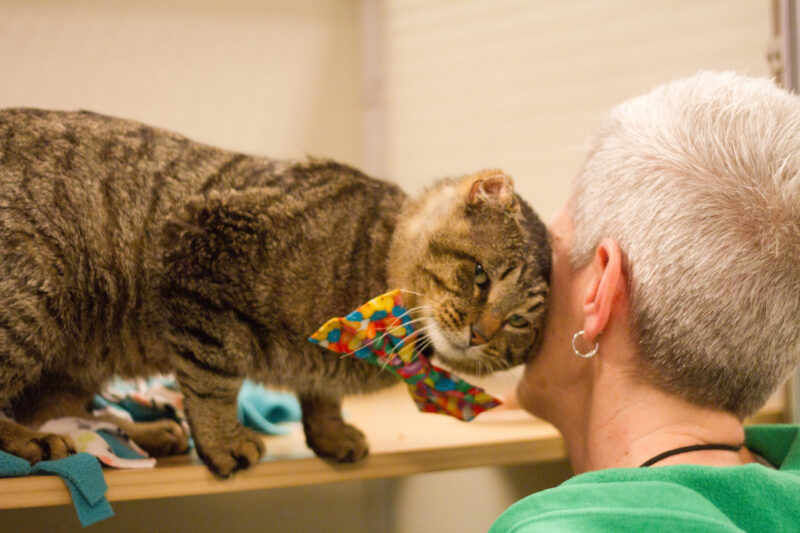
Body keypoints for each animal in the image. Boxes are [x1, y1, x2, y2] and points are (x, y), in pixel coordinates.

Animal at [0, 108, 552, 474]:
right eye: (481, 276)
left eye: (518, 322)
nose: (482, 333)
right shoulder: (202, 255)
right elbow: (213, 380)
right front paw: (223, 440)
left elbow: (322, 394)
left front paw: (330, 431)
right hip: (37, 291)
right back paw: (34, 443)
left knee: (62, 409)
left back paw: (145, 434)